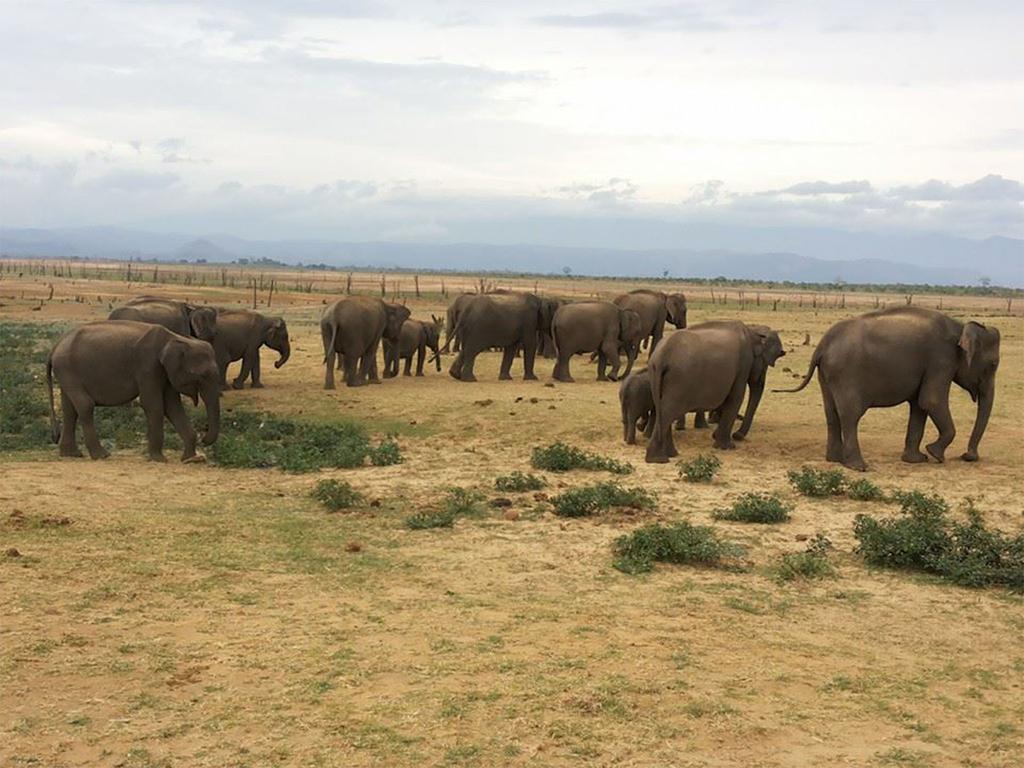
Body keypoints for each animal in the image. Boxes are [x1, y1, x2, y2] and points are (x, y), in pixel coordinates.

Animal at [47, 319, 221, 462]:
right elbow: (153, 405)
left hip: (65, 371)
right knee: (85, 404)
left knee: (70, 408)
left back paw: (72, 454)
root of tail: (55, 346)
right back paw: (102, 455)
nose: (204, 438)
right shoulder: (148, 366)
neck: (175, 338)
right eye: (202, 375)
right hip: (67, 369)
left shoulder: (165, 372)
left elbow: (173, 406)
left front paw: (190, 459)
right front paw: (159, 459)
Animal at [647, 319, 774, 462]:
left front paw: (717, 437)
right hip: (678, 380)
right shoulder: (743, 364)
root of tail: (661, 357)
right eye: (764, 366)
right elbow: (736, 398)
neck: (752, 332)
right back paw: (658, 459)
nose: (737, 435)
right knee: (667, 411)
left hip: (655, 374)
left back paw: (670, 454)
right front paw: (727, 447)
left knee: (662, 408)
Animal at [774, 309, 999, 473]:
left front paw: (917, 459)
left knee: (831, 413)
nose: (968, 456)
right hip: (845, 374)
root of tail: (822, 345)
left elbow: (919, 406)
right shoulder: (941, 360)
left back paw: (834, 460)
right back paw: (858, 466)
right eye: (993, 365)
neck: (961, 327)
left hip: (827, 374)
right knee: (850, 415)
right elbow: (931, 401)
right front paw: (935, 454)